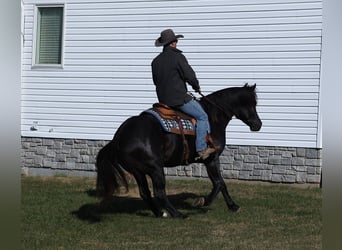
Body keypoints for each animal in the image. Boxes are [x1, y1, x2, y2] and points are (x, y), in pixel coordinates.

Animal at [95, 83, 260, 218]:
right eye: (251, 103)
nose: (258, 124)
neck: (212, 117)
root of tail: (119, 136)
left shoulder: (212, 160)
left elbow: (221, 183)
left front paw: (233, 206)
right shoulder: (211, 158)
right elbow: (219, 183)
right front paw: (202, 201)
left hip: (138, 171)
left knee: (145, 192)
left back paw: (160, 213)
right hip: (155, 168)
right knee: (159, 192)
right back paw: (178, 214)